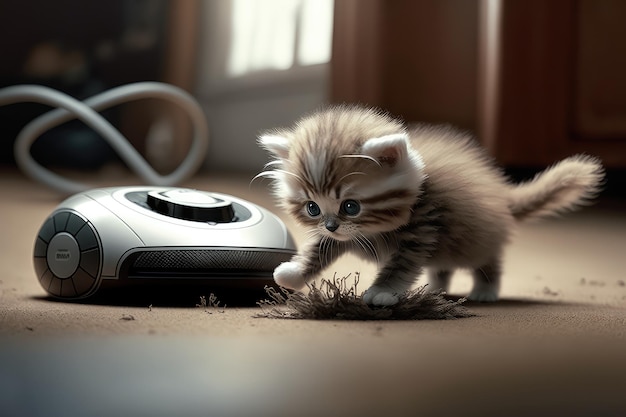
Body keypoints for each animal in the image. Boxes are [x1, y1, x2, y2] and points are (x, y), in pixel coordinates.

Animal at [256, 105, 604, 304]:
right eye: (312, 208)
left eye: (351, 206)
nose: (331, 224)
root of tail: (500, 191)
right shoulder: (342, 236)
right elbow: (319, 250)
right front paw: (293, 273)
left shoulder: (422, 226)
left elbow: (400, 264)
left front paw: (383, 291)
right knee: (443, 264)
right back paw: (436, 288)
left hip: (473, 240)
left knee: (488, 259)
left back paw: (486, 290)